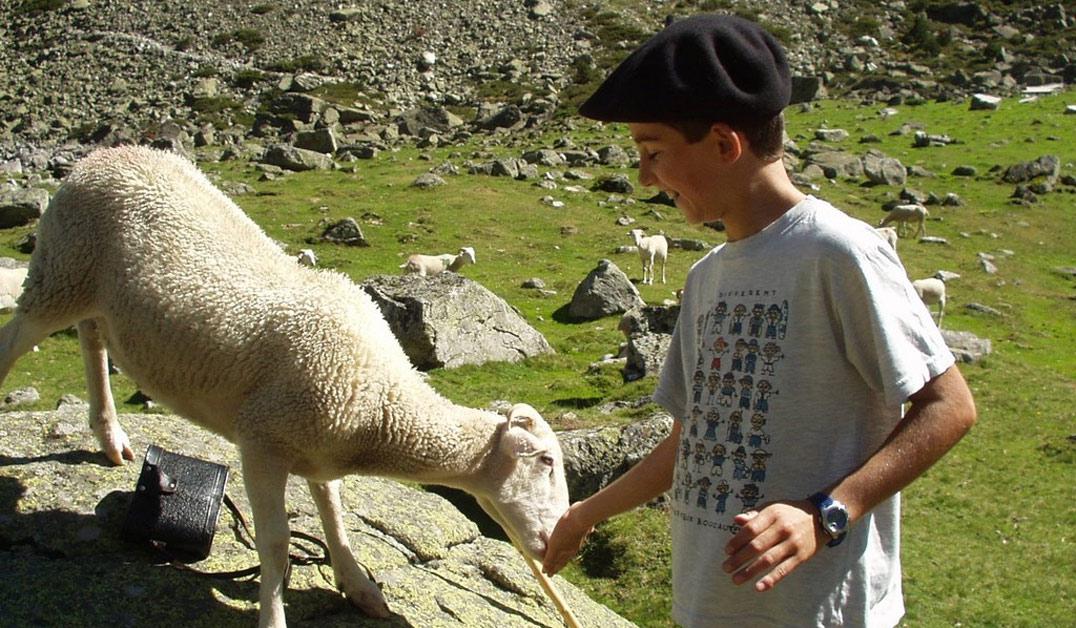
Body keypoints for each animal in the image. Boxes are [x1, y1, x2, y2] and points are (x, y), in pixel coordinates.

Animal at [0, 146, 572, 623]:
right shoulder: (262, 442)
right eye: (546, 461)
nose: (559, 548)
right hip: (60, 270)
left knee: (92, 337)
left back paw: (109, 434)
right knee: (15, 340)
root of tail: (103, 154)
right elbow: (274, 547)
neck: (381, 405)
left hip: (90, 290)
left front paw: (360, 587)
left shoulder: (320, 447)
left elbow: (335, 517)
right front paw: (275, 613)